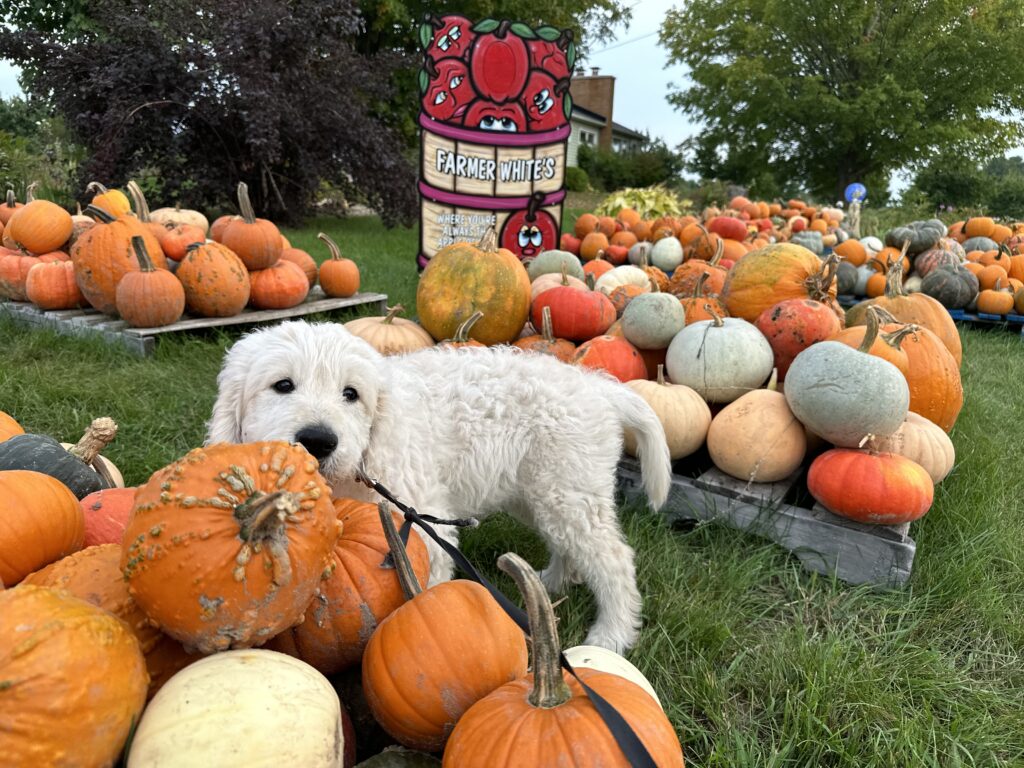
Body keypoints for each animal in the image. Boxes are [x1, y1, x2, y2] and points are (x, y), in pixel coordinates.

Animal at [206, 320, 671, 652]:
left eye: (351, 394)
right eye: (282, 385)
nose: (319, 441)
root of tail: (599, 387)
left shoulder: (419, 518)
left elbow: (425, 591)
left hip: (569, 489)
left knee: (614, 561)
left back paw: (610, 636)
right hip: (543, 492)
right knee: (570, 546)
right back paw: (552, 582)